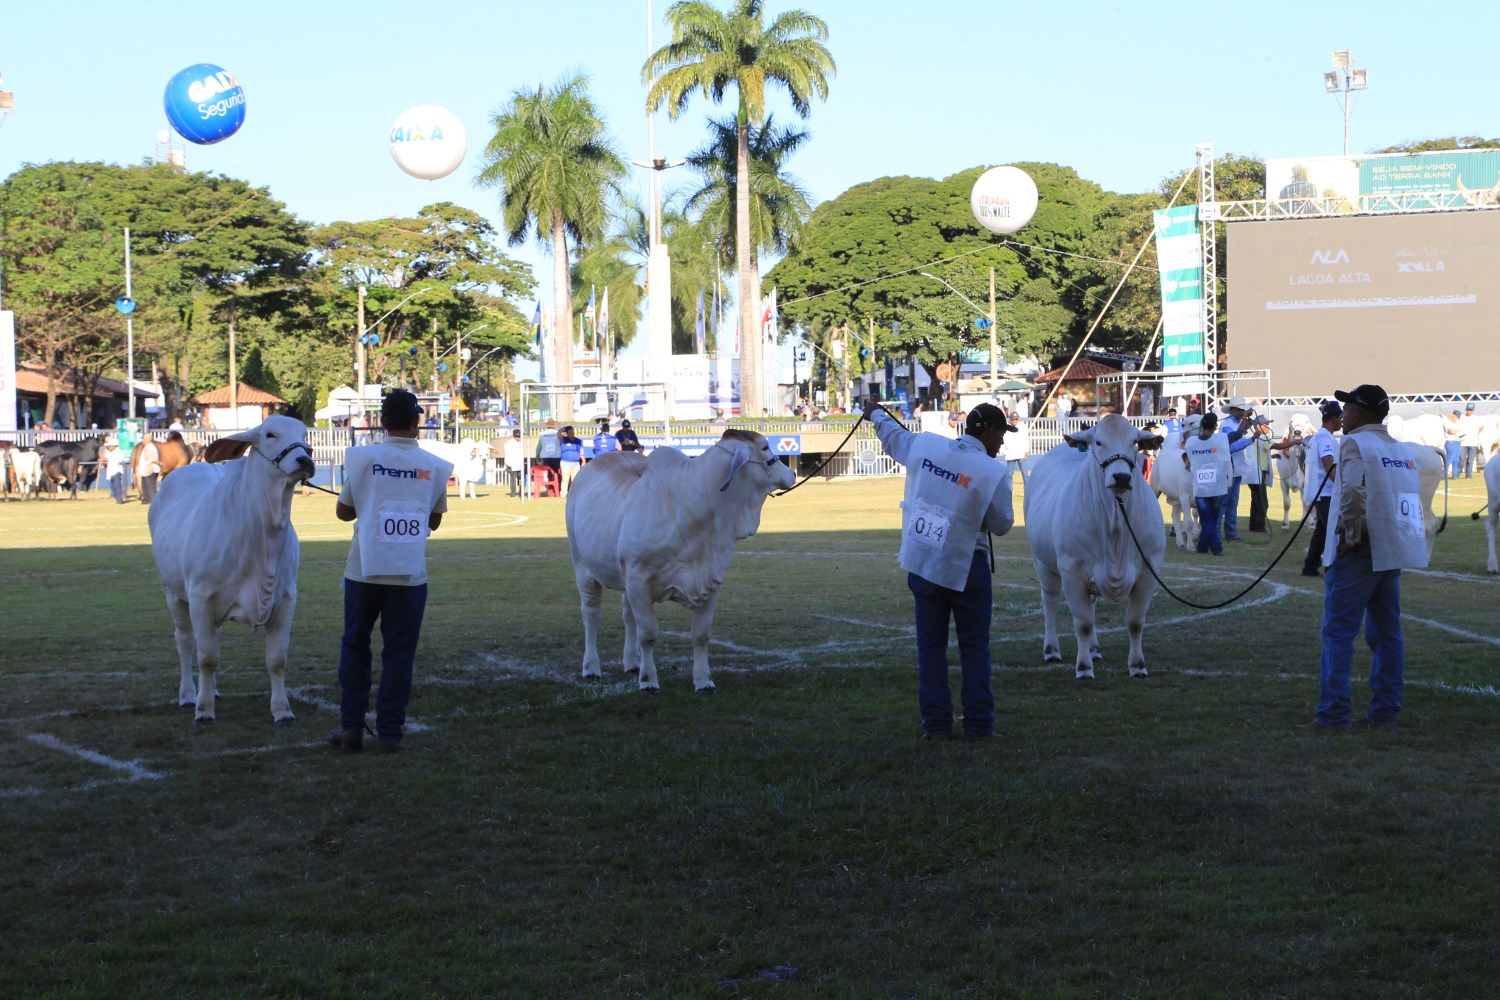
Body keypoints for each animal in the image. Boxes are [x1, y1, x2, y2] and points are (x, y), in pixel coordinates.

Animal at [147, 416, 315, 728]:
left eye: (304, 435)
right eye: (269, 434)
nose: (305, 459)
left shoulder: (286, 600)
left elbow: (277, 659)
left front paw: (282, 710)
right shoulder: (200, 598)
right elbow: (207, 658)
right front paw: (203, 710)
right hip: (173, 593)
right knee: (186, 642)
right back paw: (189, 694)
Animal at [564, 431, 798, 695]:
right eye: (766, 447)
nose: (792, 473)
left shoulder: (711, 582)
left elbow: (701, 635)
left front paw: (704, 681)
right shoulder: (639, 582)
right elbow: (648, 634)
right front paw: (648, 681)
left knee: (628, 616)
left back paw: (632, 663)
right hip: (582, 567)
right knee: (591, 616)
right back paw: (591, 668)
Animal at [1026, 413, 1164, 680]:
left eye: (1134, 442)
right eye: (1098, 442)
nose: (1121, 477)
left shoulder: (1147, 571)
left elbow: (1135, 622)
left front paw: (1138, 666)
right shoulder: (1071, 570)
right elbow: (1083, 623)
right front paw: (1083, 668)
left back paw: (1094, 650)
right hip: (1043, 563)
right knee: (1050, 602)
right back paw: (1052, 650)